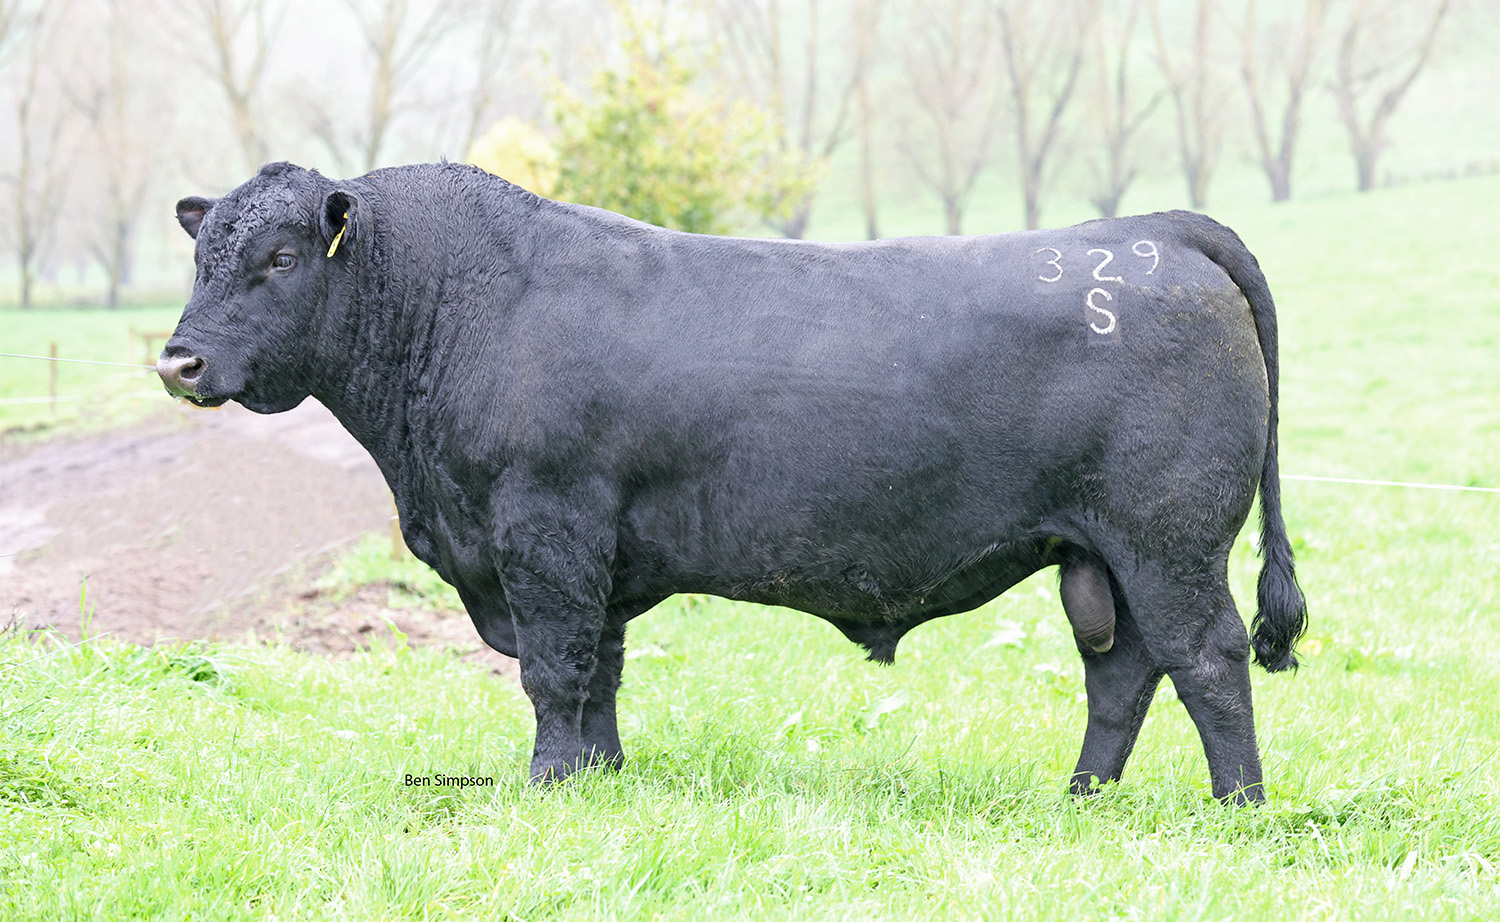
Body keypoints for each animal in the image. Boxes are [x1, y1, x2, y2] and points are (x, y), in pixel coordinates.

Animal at [160, 161, 1306, 803]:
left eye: (277, 258)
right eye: (201, 256)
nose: (179, 362)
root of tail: (1152, 231)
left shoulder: (545, 533)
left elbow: (554, 673)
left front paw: (547, 790)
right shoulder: (591, 556)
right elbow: (600, 673)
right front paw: (602, 779)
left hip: (1168, 541)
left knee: (1206, 661)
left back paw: (1237, 808)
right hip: (1097, 554)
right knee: (1123, 673)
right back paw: (1080, 799)